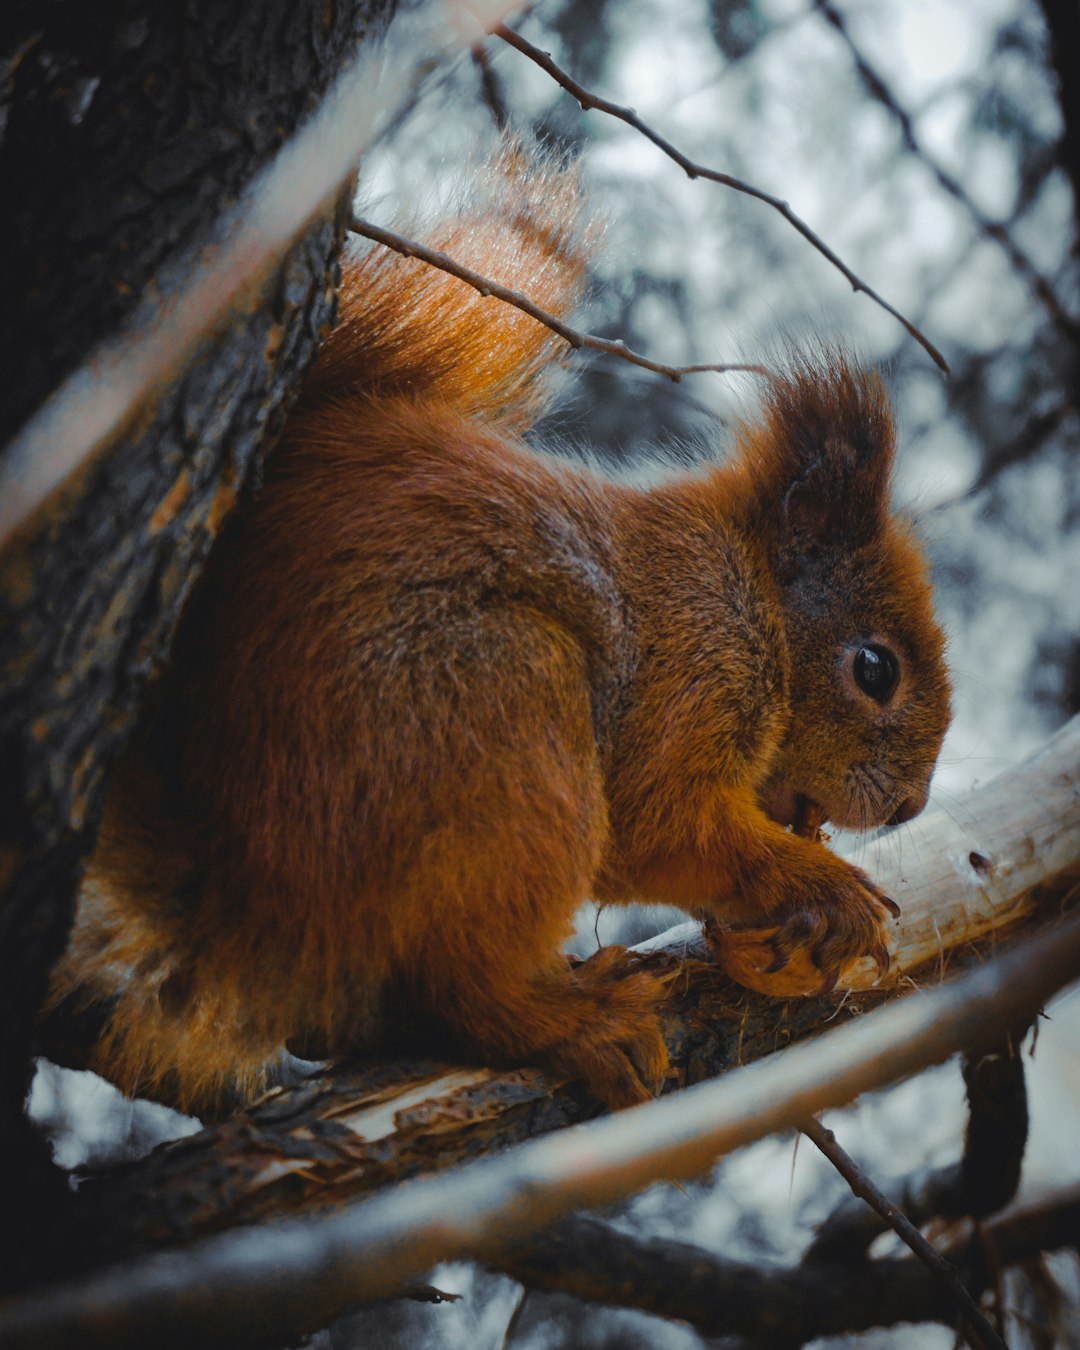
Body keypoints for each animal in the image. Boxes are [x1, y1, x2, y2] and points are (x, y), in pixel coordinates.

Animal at [46, 145, 950, 1117]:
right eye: (875, 668)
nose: (910, 807)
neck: (750, 592)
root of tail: (247, 910)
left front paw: (767, 942)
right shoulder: (695, 661)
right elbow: (654, 826)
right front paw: (827, 887)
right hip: (496, 719)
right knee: (461, 986)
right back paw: (571, 1020)